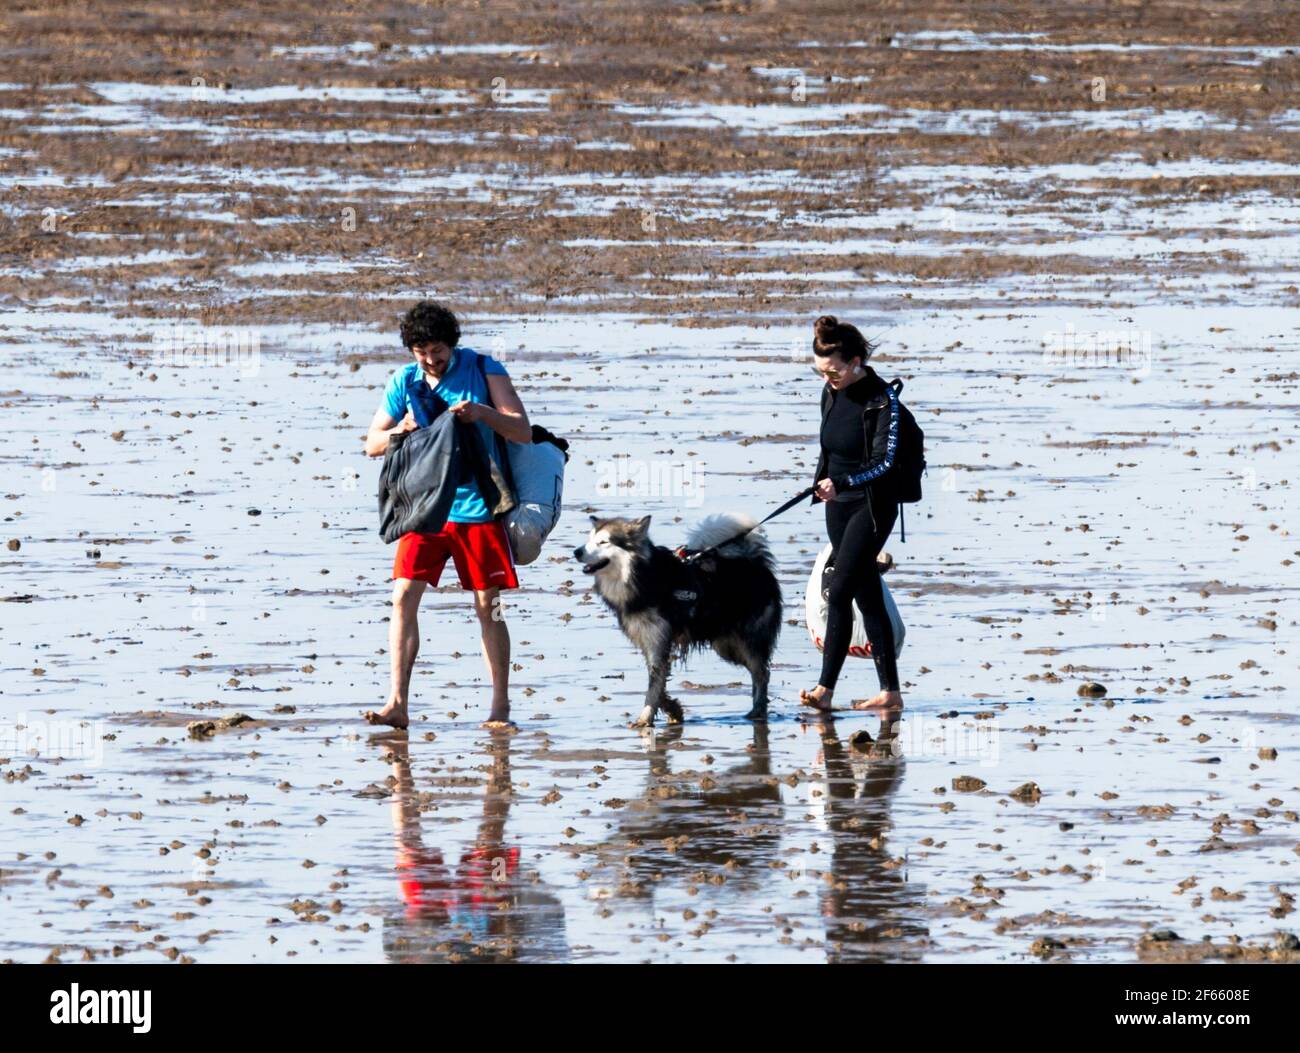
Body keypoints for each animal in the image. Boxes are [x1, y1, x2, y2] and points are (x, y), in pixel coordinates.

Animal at [572, 512, 780, 728]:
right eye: (589, 539)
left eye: (603, 542)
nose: (576, 552)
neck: (642, 576)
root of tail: (755, 560)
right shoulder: (649, 640)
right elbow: (658, 681)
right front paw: (673, 710)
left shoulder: (658, 639)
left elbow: (655, 683)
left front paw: (645, 718)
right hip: (725, 644)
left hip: (743, 641)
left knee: (761, 672)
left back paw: (758, 710)